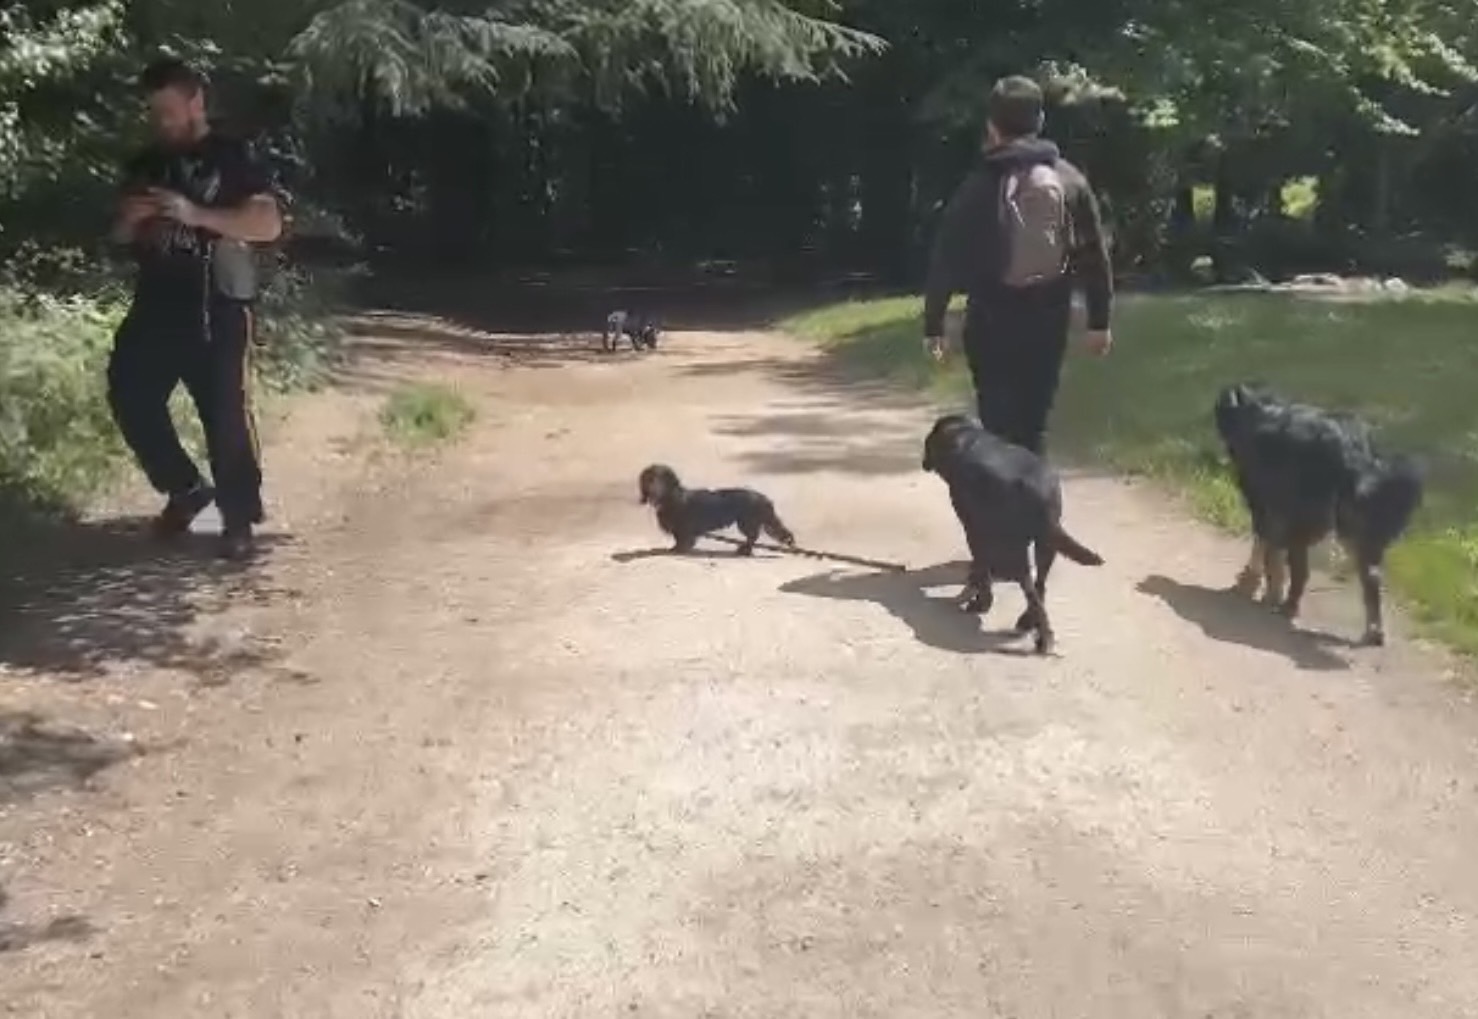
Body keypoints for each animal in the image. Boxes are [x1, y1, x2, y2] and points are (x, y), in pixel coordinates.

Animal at [638, 464, 798, 556]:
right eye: (648, 478)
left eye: (662, 479)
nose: (654, 490)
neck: (672, 498)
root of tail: (764, 498)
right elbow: (678, 539)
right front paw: (676, 548)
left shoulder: (684, 528)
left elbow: (683, 540)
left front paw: (679, 549)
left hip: (745, 522)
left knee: (752, 537)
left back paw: (744, 550)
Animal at [916, 411, 1105, 650]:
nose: (923, 462)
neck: (968, 437)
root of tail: (1039, 491)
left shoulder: (973, 531)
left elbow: (981, 570)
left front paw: (980, 602)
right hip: (1046, 545)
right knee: (1040, 585)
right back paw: (1028, 622)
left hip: (1017, 551)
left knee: (1031, 591)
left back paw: (1044, 639)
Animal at [1211, 381, 1418, 644]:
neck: (1257, 408)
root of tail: (1350, 448)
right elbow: (1272, 555)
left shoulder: (1264, 506)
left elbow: (1265, 550)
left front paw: (1253, 586)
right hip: (1356, 525)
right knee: (1370, 576)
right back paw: (1373, 631)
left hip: (1304, 519)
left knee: (1301, 569)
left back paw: (1288, 606)